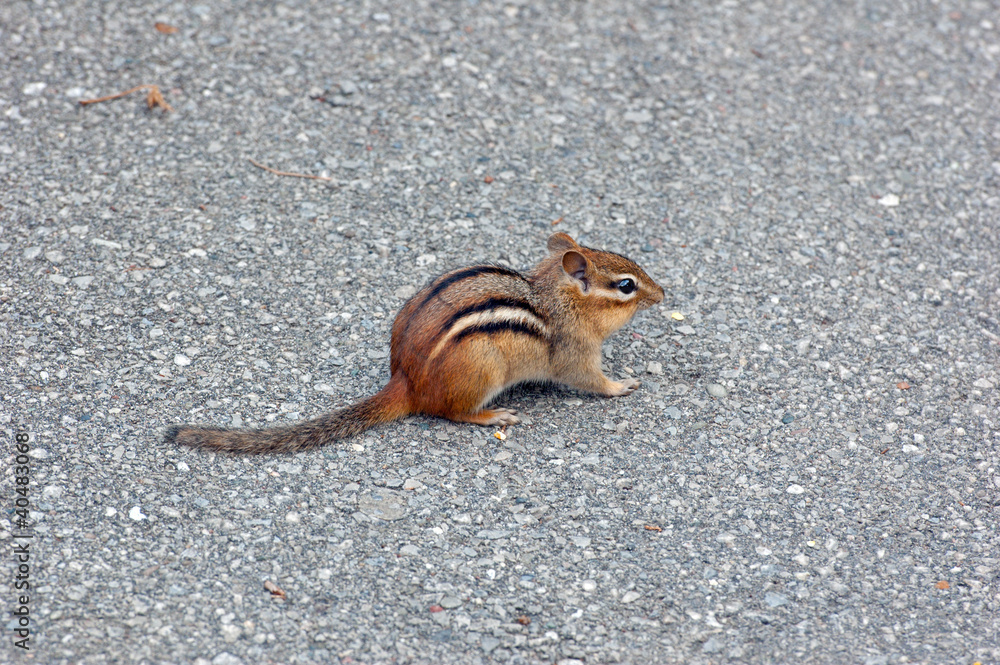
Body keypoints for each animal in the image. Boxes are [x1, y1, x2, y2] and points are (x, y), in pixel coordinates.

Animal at [164, 232, 664, 454]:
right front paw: (622, 385)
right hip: (484, 368)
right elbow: (590, 380)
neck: (557, 298)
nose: (664, 294)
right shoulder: (574, 353)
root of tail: (405, 380)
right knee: (450, 412)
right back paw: (492, 416)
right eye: (626, 286)